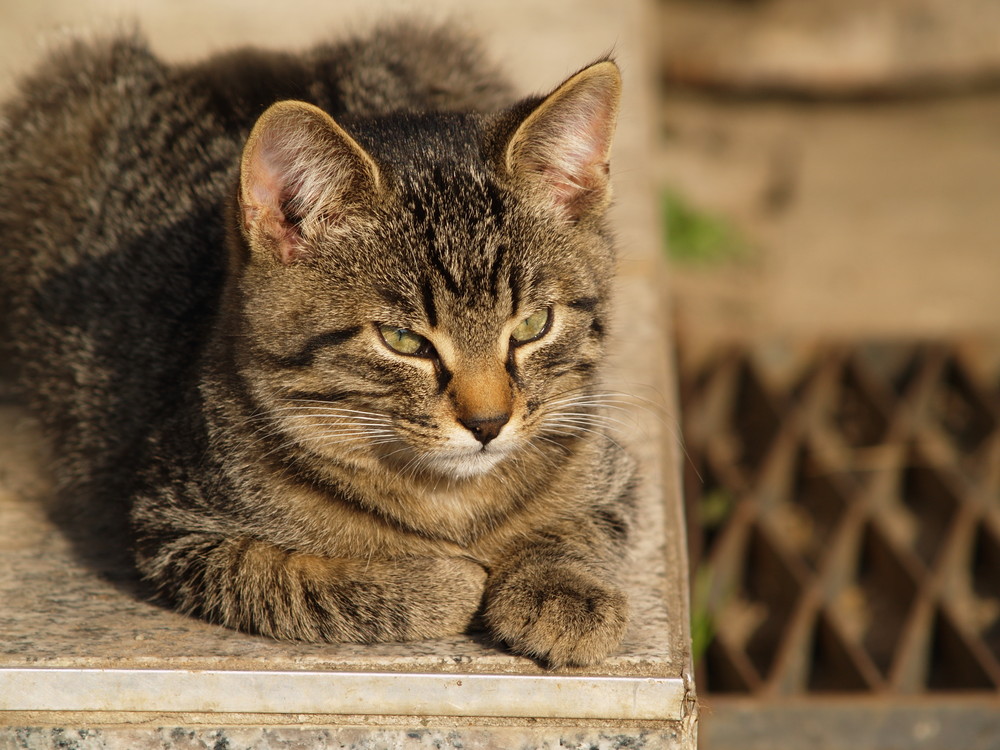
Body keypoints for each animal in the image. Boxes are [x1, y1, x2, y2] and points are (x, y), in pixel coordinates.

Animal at [0, 22, 636, 668]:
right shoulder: (173, 527)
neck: (448, 499)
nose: (488, 423)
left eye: (533, 325)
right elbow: (291, 580)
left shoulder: (615, 478)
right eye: (403, 340)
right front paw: (438, 580)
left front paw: (564, 591)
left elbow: (579, 529)